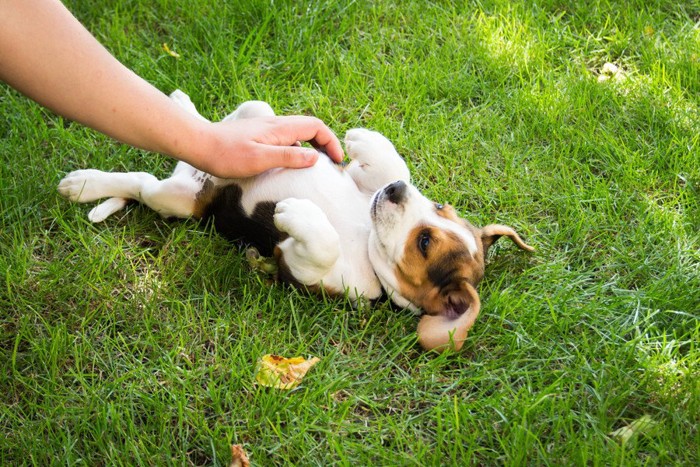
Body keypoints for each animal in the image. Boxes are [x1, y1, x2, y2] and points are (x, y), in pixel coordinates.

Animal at [60, 90, 532, 352]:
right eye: (439, 208)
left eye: (425, 243)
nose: (396, 191)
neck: (366, 237)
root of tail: (200, 182)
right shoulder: (362, 183)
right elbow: (385, 163)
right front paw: (367, 142)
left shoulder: (298, 268)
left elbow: (320, 246)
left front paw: (296, 213)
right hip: (253, 120)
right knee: (220, 125)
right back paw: (180, 107)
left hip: (177, 198)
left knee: (143, 181)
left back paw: (83, 184)